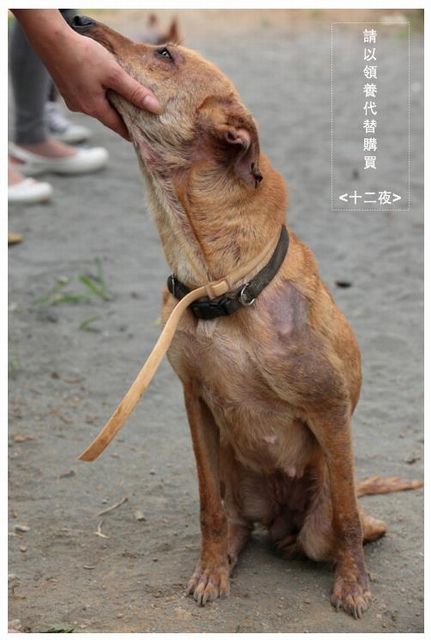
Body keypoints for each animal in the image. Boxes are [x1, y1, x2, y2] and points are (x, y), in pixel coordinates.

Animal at [72, 16, 422, 618]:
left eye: (164, 54)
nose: (73, 19)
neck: (219, 282)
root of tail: (281, 516)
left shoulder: (330, 407)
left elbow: (346, 521)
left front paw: (353, 586)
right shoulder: (196, 403)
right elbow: (208, 508)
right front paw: (213, 569)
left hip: (324, 500)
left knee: (342, 523)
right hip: (241, 480)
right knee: (243, 522)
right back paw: (250, 545)